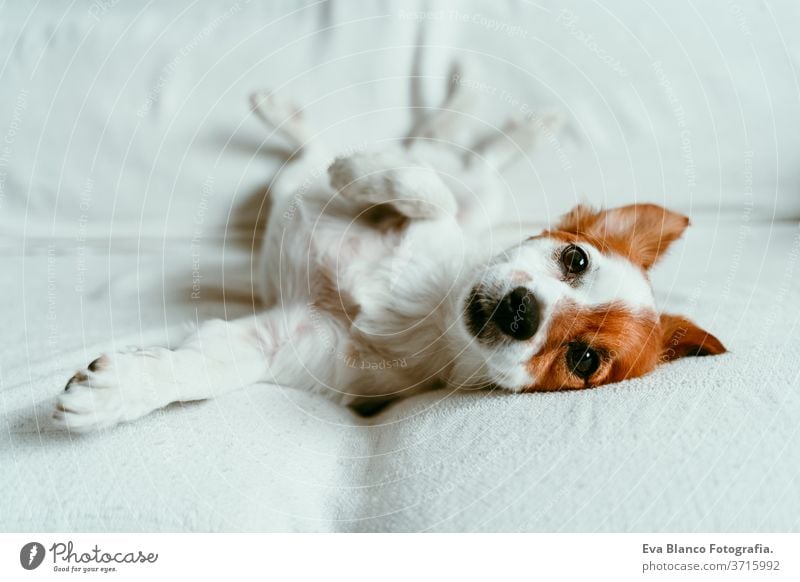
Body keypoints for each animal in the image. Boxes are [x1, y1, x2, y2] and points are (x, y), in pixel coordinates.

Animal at [50, 69, 724, 434]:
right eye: (575, 259)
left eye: (583, 360)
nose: (521, 311)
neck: (427, 311)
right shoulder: (423, 219)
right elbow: (422, 192)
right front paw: (364, 171)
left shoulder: (276, 346)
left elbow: (205, 371)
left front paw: (113, 393)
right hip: (445, 181)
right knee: (428, 149)